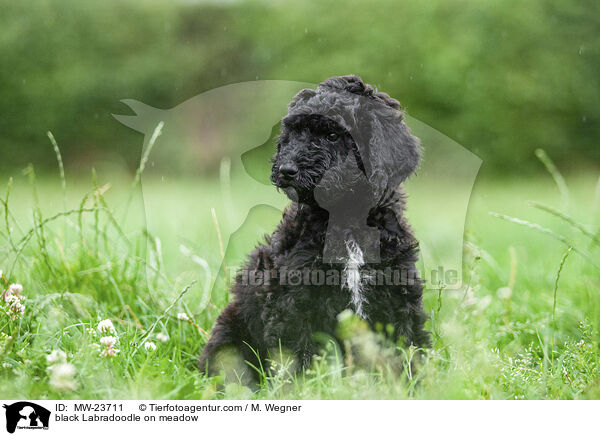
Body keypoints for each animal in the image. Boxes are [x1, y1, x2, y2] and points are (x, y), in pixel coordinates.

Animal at [199, 76, 428, 382]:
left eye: (332, 136)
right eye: (294, 134)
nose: (286, 170)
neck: (347, 219)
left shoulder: (398, 294)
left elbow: (408, 344)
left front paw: (415, 384)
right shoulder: (294, 300)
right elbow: (298, 355)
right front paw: (303, 386)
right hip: (229, 335)